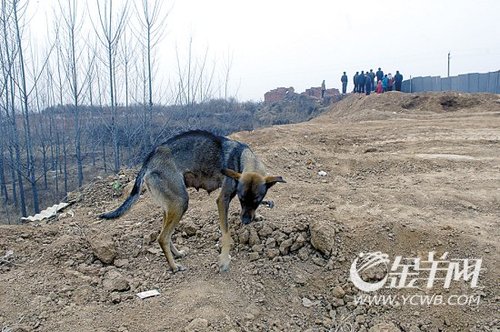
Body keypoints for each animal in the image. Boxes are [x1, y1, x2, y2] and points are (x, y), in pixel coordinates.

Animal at [100, 130, 286, 272]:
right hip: (181, 203)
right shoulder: (222, 200)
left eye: (257, 200)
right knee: (162, 237)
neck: (242, 157)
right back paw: (174, 267)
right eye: (241, 199)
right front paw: (224, 260)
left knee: (165, 234)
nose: (246, 221)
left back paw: (177, 254)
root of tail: (149, 160)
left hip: (170, 207)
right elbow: (226, 235)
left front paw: (259, 213)